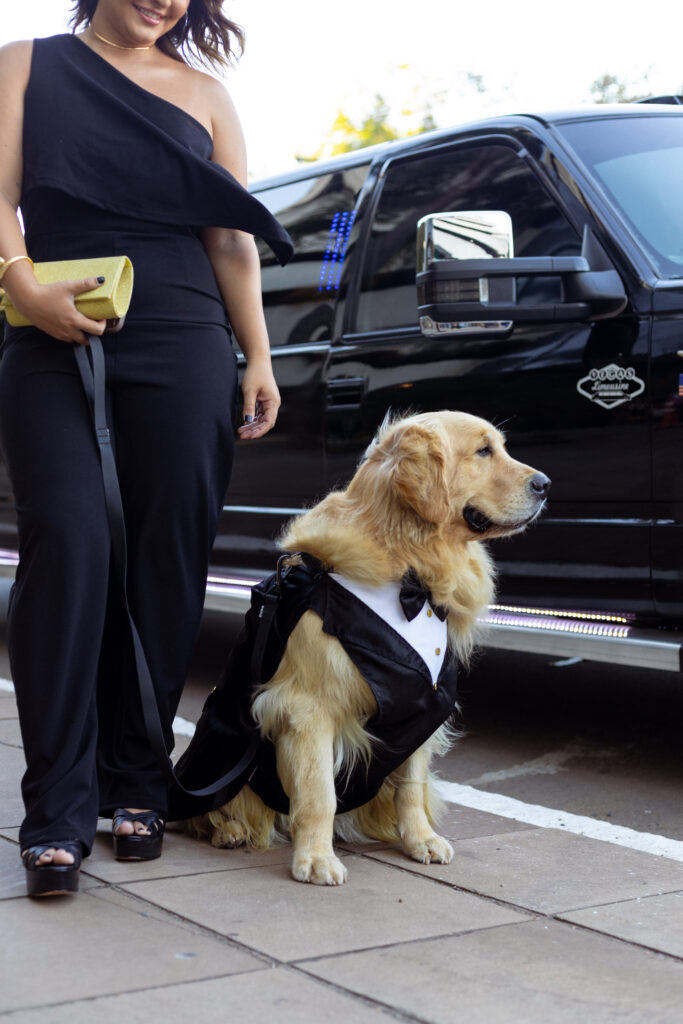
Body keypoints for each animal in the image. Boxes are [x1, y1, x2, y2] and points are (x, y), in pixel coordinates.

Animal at [187, 411, 548, 884]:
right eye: (483, 451)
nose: (545, 484)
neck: (410, 573)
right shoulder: (308, 707)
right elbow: (318, 793)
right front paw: (316, 858)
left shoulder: (421, 707)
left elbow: (411, 786)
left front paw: (420, 840)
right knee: (209, 812)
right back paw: (228, 830)